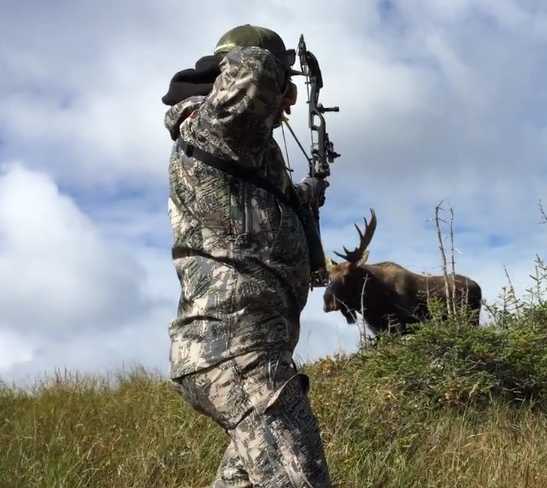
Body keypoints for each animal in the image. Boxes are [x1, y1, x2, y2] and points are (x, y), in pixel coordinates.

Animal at [324, 210, 482, 336]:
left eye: (347, 276)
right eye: (329, 278)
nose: (327, 303)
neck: (373, 299)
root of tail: (478, 286)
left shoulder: (405, 322)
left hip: (471, 318)